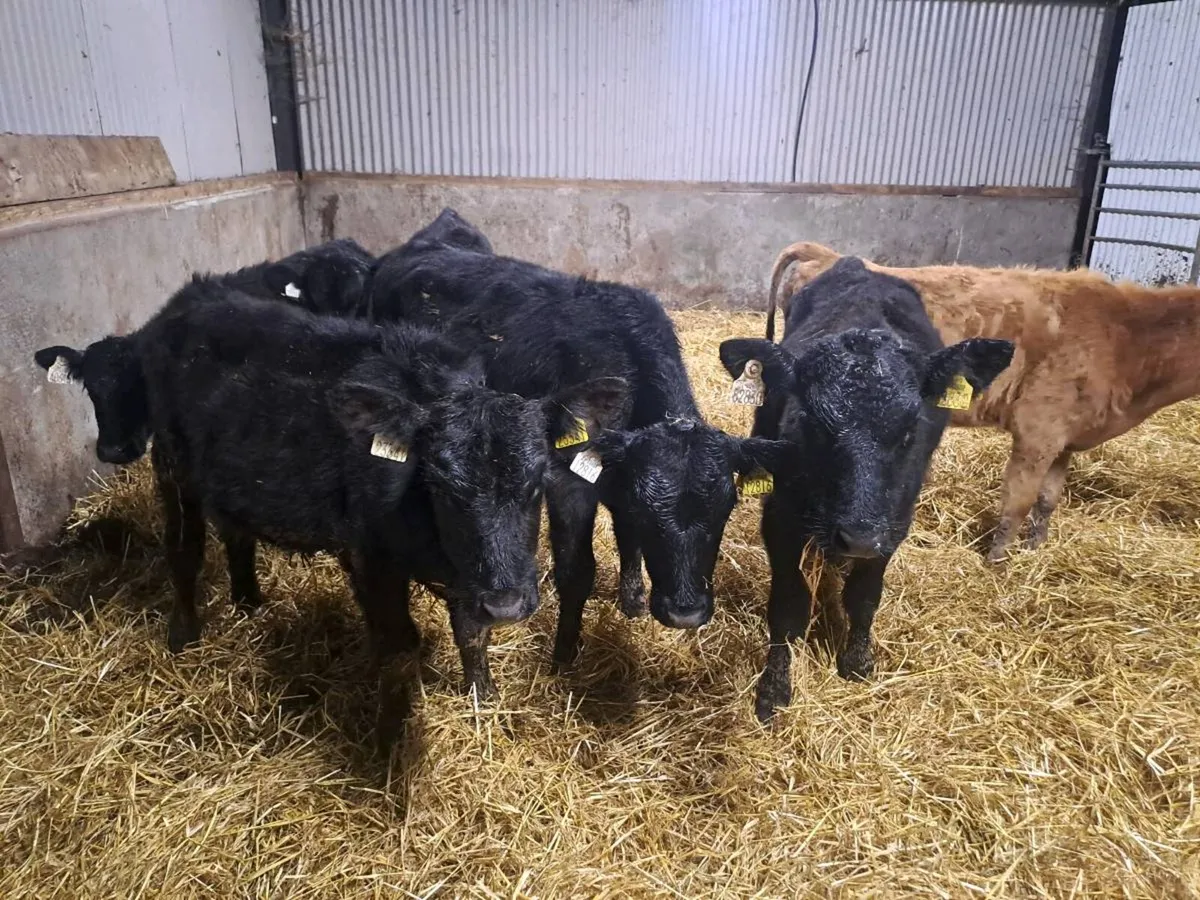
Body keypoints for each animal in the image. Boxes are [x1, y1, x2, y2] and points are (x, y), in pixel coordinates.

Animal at [366, 225, 797, 667]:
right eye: (652, 515)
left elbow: (626, 535)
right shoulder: (567, 481)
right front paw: (564, 655)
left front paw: (632, 602)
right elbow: (578, 571)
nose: (686, 613)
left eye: (725, 508)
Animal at [721, 257, 1013, 721]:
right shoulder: (779, 517)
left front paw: (857, 662)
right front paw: (774, 690)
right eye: (813, 424)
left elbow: (863, 597)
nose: (856, 537)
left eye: (911, 428)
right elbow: (787, 607)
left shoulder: (893, 521)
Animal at [765, 241, 1200, 562]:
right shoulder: (1037, 431)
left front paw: (1034, 551)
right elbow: (1017, 505)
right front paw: (997, 564)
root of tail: (829, 254)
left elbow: (1047, 501)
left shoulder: (1064, 438)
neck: (1125, 336)